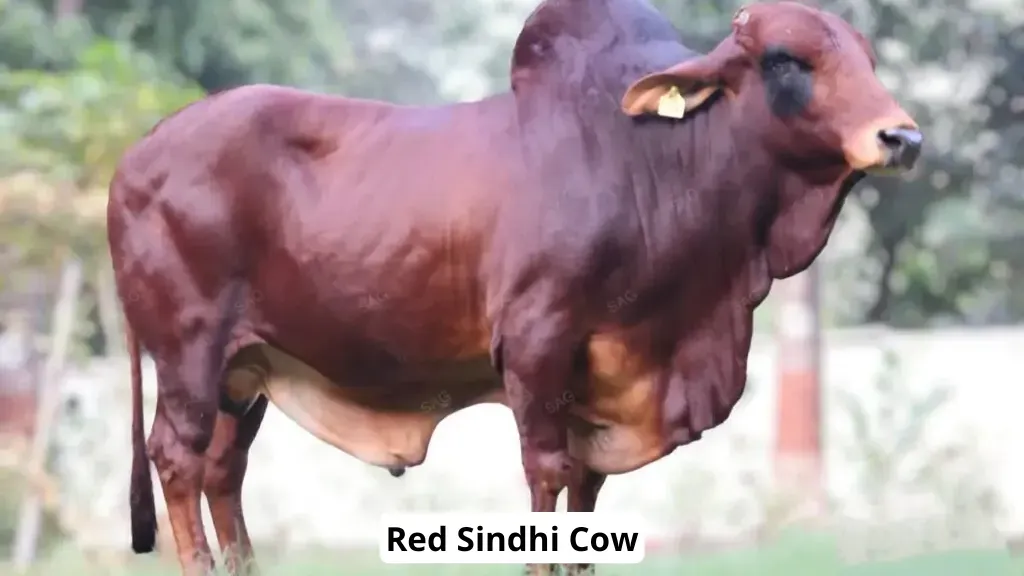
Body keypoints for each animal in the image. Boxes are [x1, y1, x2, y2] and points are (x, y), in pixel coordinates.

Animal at [107, 0, 922, 574]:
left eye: (867, 58)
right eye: (787, 59)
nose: (903, 137)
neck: (657, 162)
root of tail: (134, 157)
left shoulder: (599, 386)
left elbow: (586, 499)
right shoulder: (538, 346)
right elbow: (547, 479)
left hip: (245, 373)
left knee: (223, 471)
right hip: (189, 352)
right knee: (177, 459)